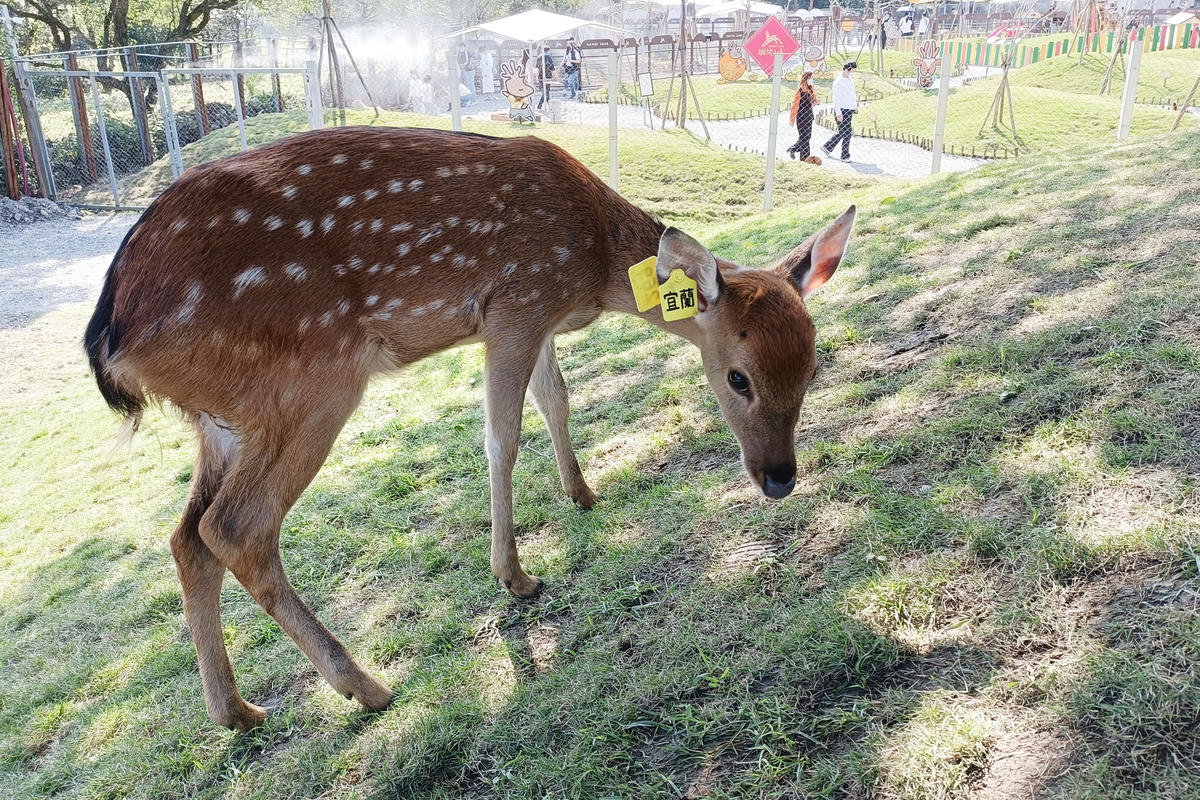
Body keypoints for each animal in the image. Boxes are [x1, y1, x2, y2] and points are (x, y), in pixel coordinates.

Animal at [85, 126, 855, 730]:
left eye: (813, 365)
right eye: (738, 377)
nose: (779, 477)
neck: (595, 266)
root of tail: (112, 333)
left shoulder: (539, 319)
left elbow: (557, 399)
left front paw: (582, 494)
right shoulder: (514, 303)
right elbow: (501, 436)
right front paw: (515, 575)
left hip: (223, 415)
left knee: (187, 536)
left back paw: (237, 710)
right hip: (307, 382)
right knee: (236, 527)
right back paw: (365, 687)